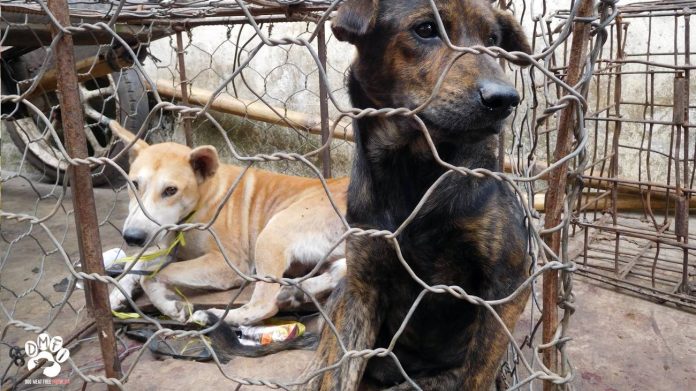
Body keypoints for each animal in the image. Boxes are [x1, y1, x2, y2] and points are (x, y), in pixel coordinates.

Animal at [109, 129, 348, 328]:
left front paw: (167, 303)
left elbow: (153, 274)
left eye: (170, 190)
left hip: (271, 234)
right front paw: (116, 293)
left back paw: (213, 316)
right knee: (338, 272)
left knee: (265, 305)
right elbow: (137, 262)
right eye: (134, 184)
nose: (132, 237)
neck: (205, 196)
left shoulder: (228, 264)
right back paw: (296, 292)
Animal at [300, 0, 532, 388]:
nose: (505, 99)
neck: (411, 167)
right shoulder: (363, 286)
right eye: (425, 29)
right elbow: (343, 369)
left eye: (493, 40)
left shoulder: (508, 285)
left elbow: (477, 374)